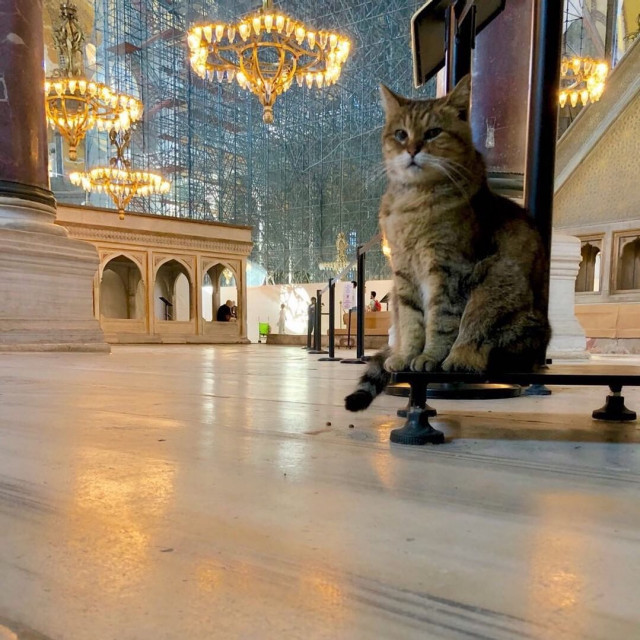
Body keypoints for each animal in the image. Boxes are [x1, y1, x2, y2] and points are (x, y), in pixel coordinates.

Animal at [344, 75, 552, 412]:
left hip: (497, 282)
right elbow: (412, 321)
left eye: (433, 133)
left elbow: (440, 320)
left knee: (479, 340)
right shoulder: (404, 273)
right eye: (401, 134)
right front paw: (406, 356)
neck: (412, 202)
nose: (412, 149)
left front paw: (429, 357)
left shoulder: (447, 270)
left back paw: (460, 358)